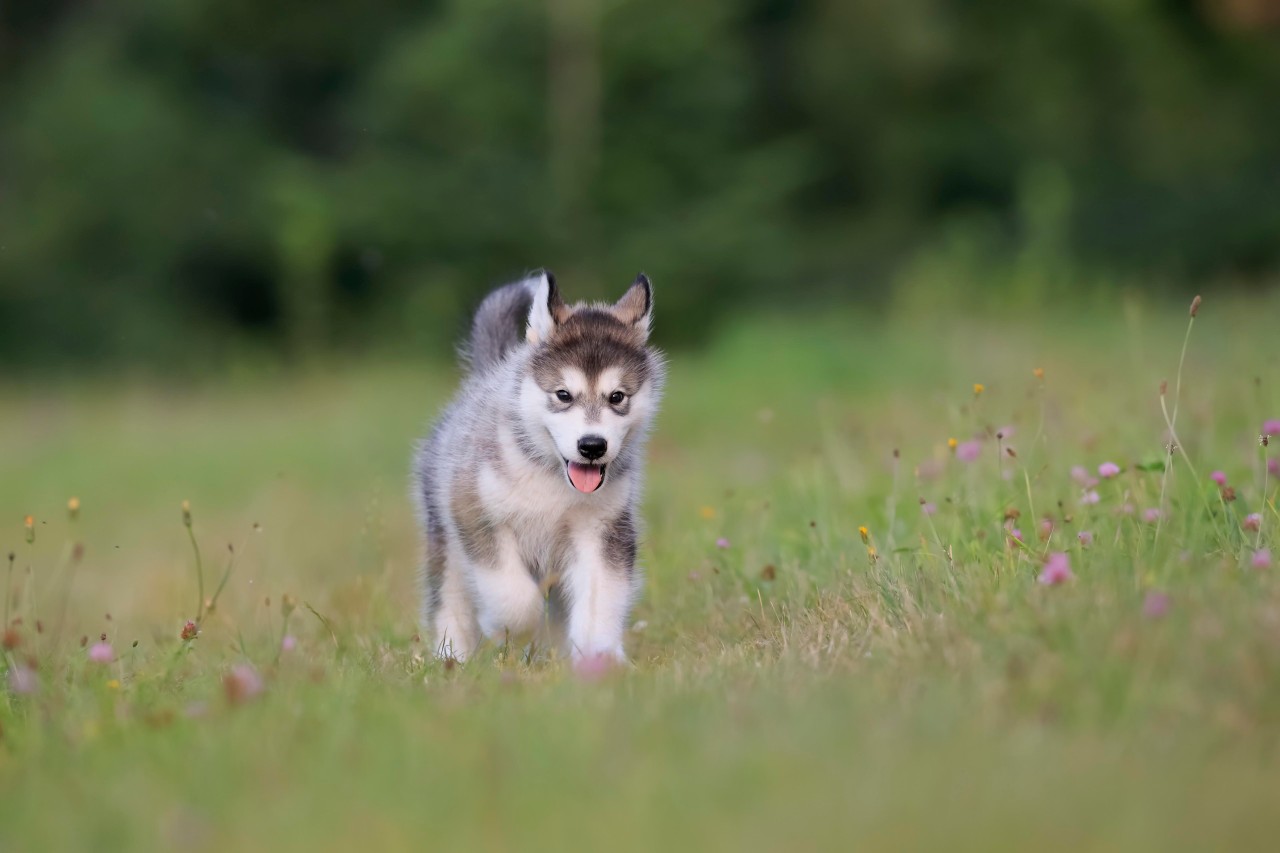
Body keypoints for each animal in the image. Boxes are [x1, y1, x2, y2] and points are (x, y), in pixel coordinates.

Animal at [414, 268, 665, 660]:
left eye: (617, 397)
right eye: (563, 394)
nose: (592, 446)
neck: (551, 479)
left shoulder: (604, 530)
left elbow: (600, 599)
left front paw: (598, 659)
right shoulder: (476, 513)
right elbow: (514, 599)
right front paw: (507, 630)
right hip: (446, 539)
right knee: (450, 600)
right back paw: (452, 658)